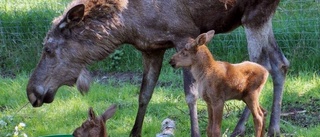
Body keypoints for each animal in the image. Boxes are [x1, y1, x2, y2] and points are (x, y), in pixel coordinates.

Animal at [26, 0, 288, 136]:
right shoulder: (151, 48)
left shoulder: (184, 34)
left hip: (254, 14)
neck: (126, 24)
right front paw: (134, 132)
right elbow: (144, 94)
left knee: (261, 62)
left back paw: (240, 128)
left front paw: (195, 132)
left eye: (48, 49)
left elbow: (190, 95)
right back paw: (274, 127)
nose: (31, 92)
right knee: (280, 63)